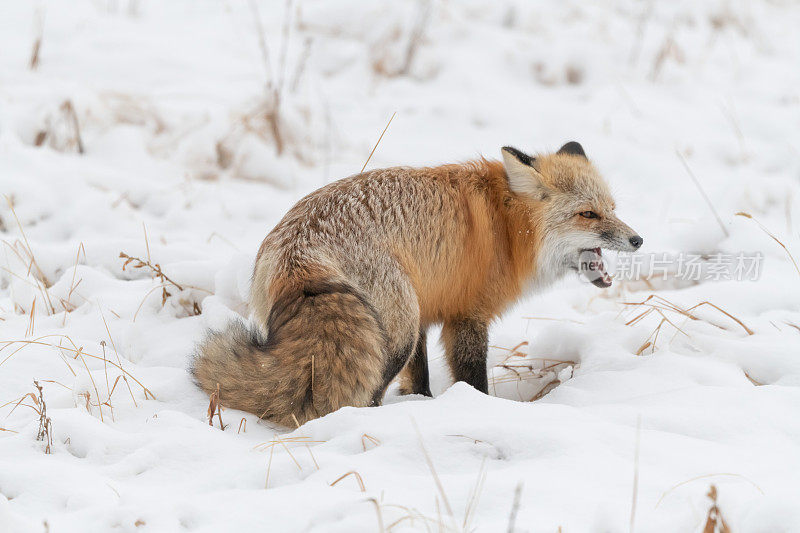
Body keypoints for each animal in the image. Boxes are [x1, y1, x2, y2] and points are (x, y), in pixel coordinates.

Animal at [192, 140, 644, 424]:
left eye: (612, 208)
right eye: (587, 215)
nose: (638, 240)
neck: (508, 227)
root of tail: (297, 252)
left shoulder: (429, 312)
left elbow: (421, 378)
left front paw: (421, 405)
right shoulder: (467, 316)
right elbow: (473, 379)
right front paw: (478, 411)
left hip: (404, 322)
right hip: (395, 332)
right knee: (367, 394)